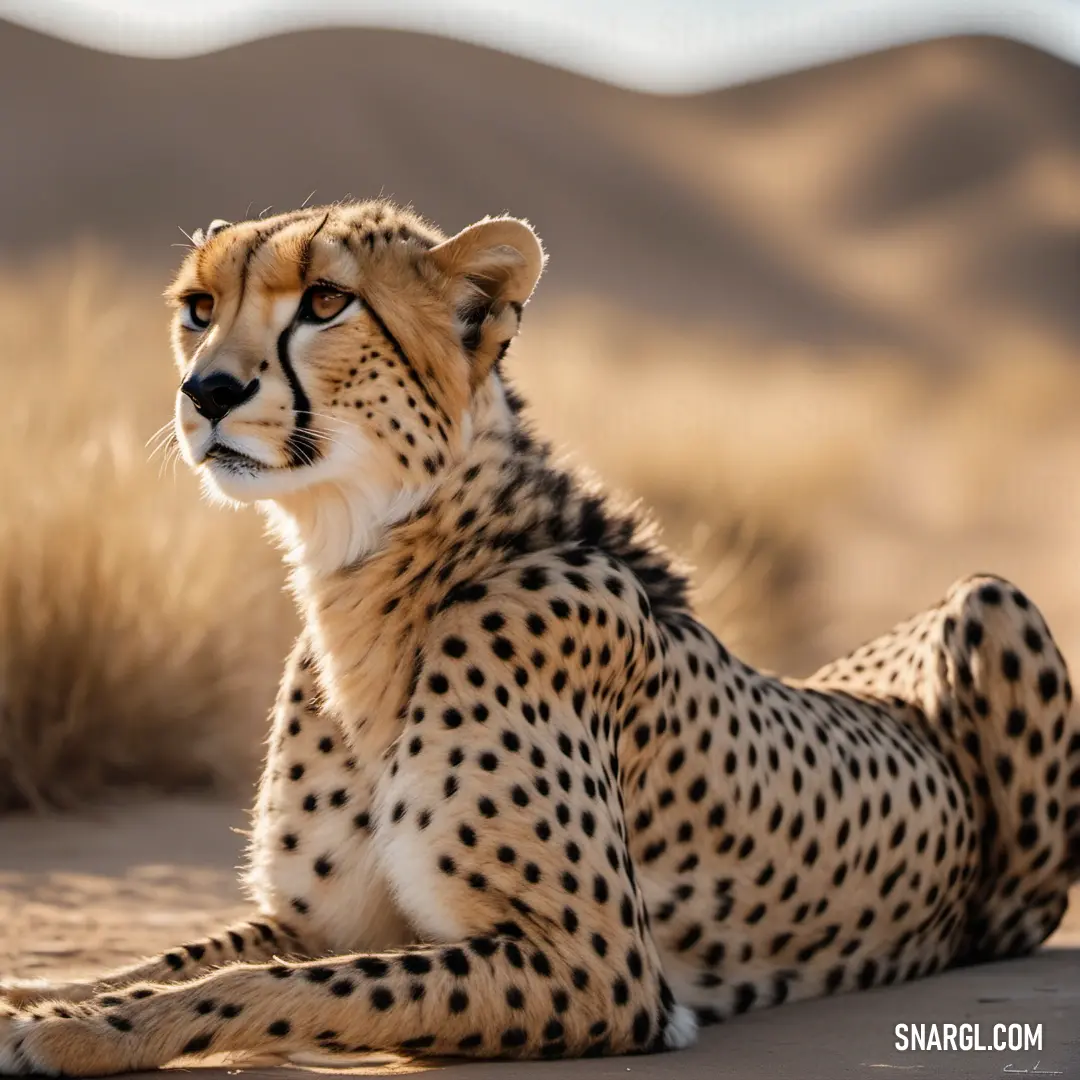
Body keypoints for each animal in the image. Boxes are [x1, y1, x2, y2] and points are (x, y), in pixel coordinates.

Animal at [4, 200, 1075, 1071]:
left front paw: (80, 1029)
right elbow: (186, 955)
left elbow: (260, 988)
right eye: (197, 306)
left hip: (993, 601)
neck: (381, 571)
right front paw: (44, 994)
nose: (207, 392)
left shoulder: (597, 968)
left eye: (324, 301)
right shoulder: (315, 921)